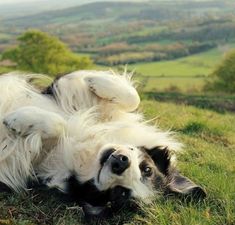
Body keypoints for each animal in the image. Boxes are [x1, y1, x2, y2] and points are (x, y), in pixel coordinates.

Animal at [0, 70, 206, 216]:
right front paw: (96, 80)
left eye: (120, 193)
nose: (121, 163)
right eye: (147, 169)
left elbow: (60, 126)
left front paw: (19, 120)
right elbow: (133, 98)